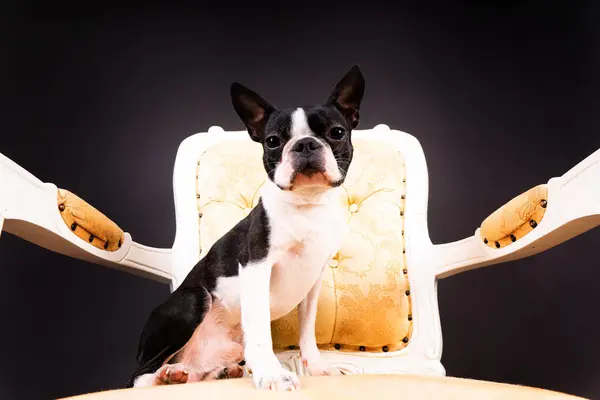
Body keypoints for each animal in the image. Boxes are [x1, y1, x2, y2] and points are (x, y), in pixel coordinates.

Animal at [126, 65, 366, 390]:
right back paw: (165, 377)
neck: (306, 205)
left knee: (196, 372)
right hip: (193, 299)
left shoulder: (313, 281)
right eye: (273, 141)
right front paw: (273, 373)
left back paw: (207, 373)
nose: (305, 144)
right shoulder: (256, 265)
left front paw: (317, 368)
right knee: (139, 376)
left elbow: (307, 332)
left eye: (337, 133)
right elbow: (261, 331)